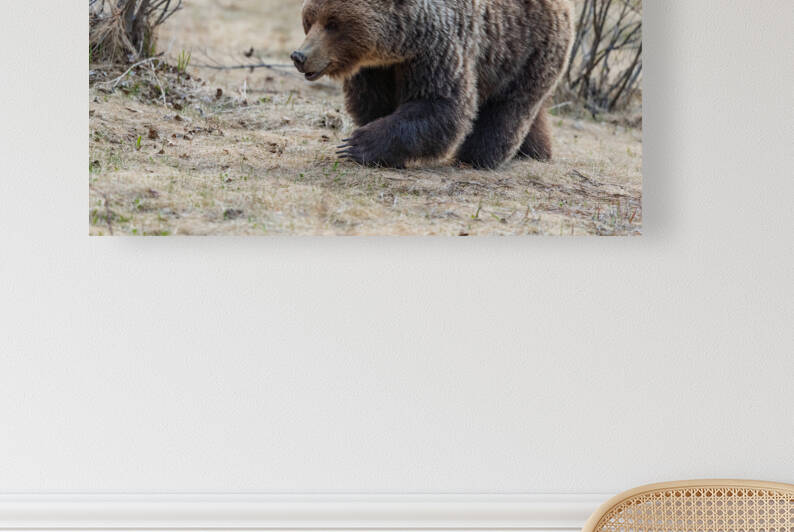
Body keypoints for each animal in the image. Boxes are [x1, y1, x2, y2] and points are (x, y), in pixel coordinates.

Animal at [291, 0, 574, 169]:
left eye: (333, 23)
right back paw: (536, 151)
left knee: (509, 108)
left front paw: (357, 145)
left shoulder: (438, 49)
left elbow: (440, 104)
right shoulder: (376, 70)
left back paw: (478, 157)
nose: (299, 56)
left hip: (528, 48)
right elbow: (373, 103)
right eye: (309, 19)